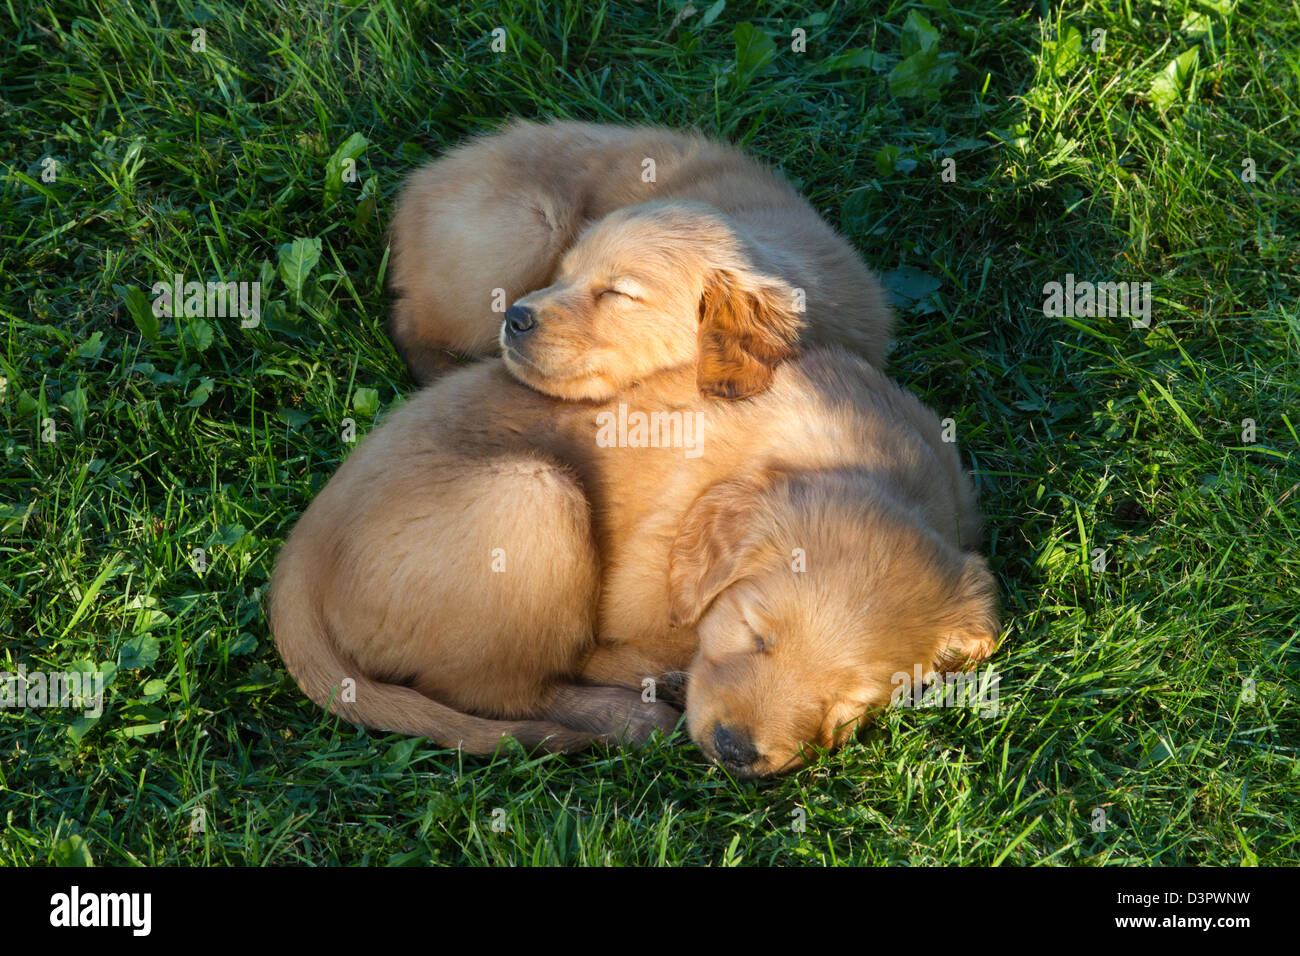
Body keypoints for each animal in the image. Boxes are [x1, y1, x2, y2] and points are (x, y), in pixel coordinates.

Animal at [266, 204, 993, 780]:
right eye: (756, 635)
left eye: (852, 702)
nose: (736, 752)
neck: (860, 457)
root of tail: (300, 560)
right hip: (533, 495)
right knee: (498, 691)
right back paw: (627, 715)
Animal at [384, 119, 894, 385]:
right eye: (562, 275)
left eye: (618, 294)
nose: (514, 318)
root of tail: (418, 185)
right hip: (526, 230)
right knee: (409, 321)